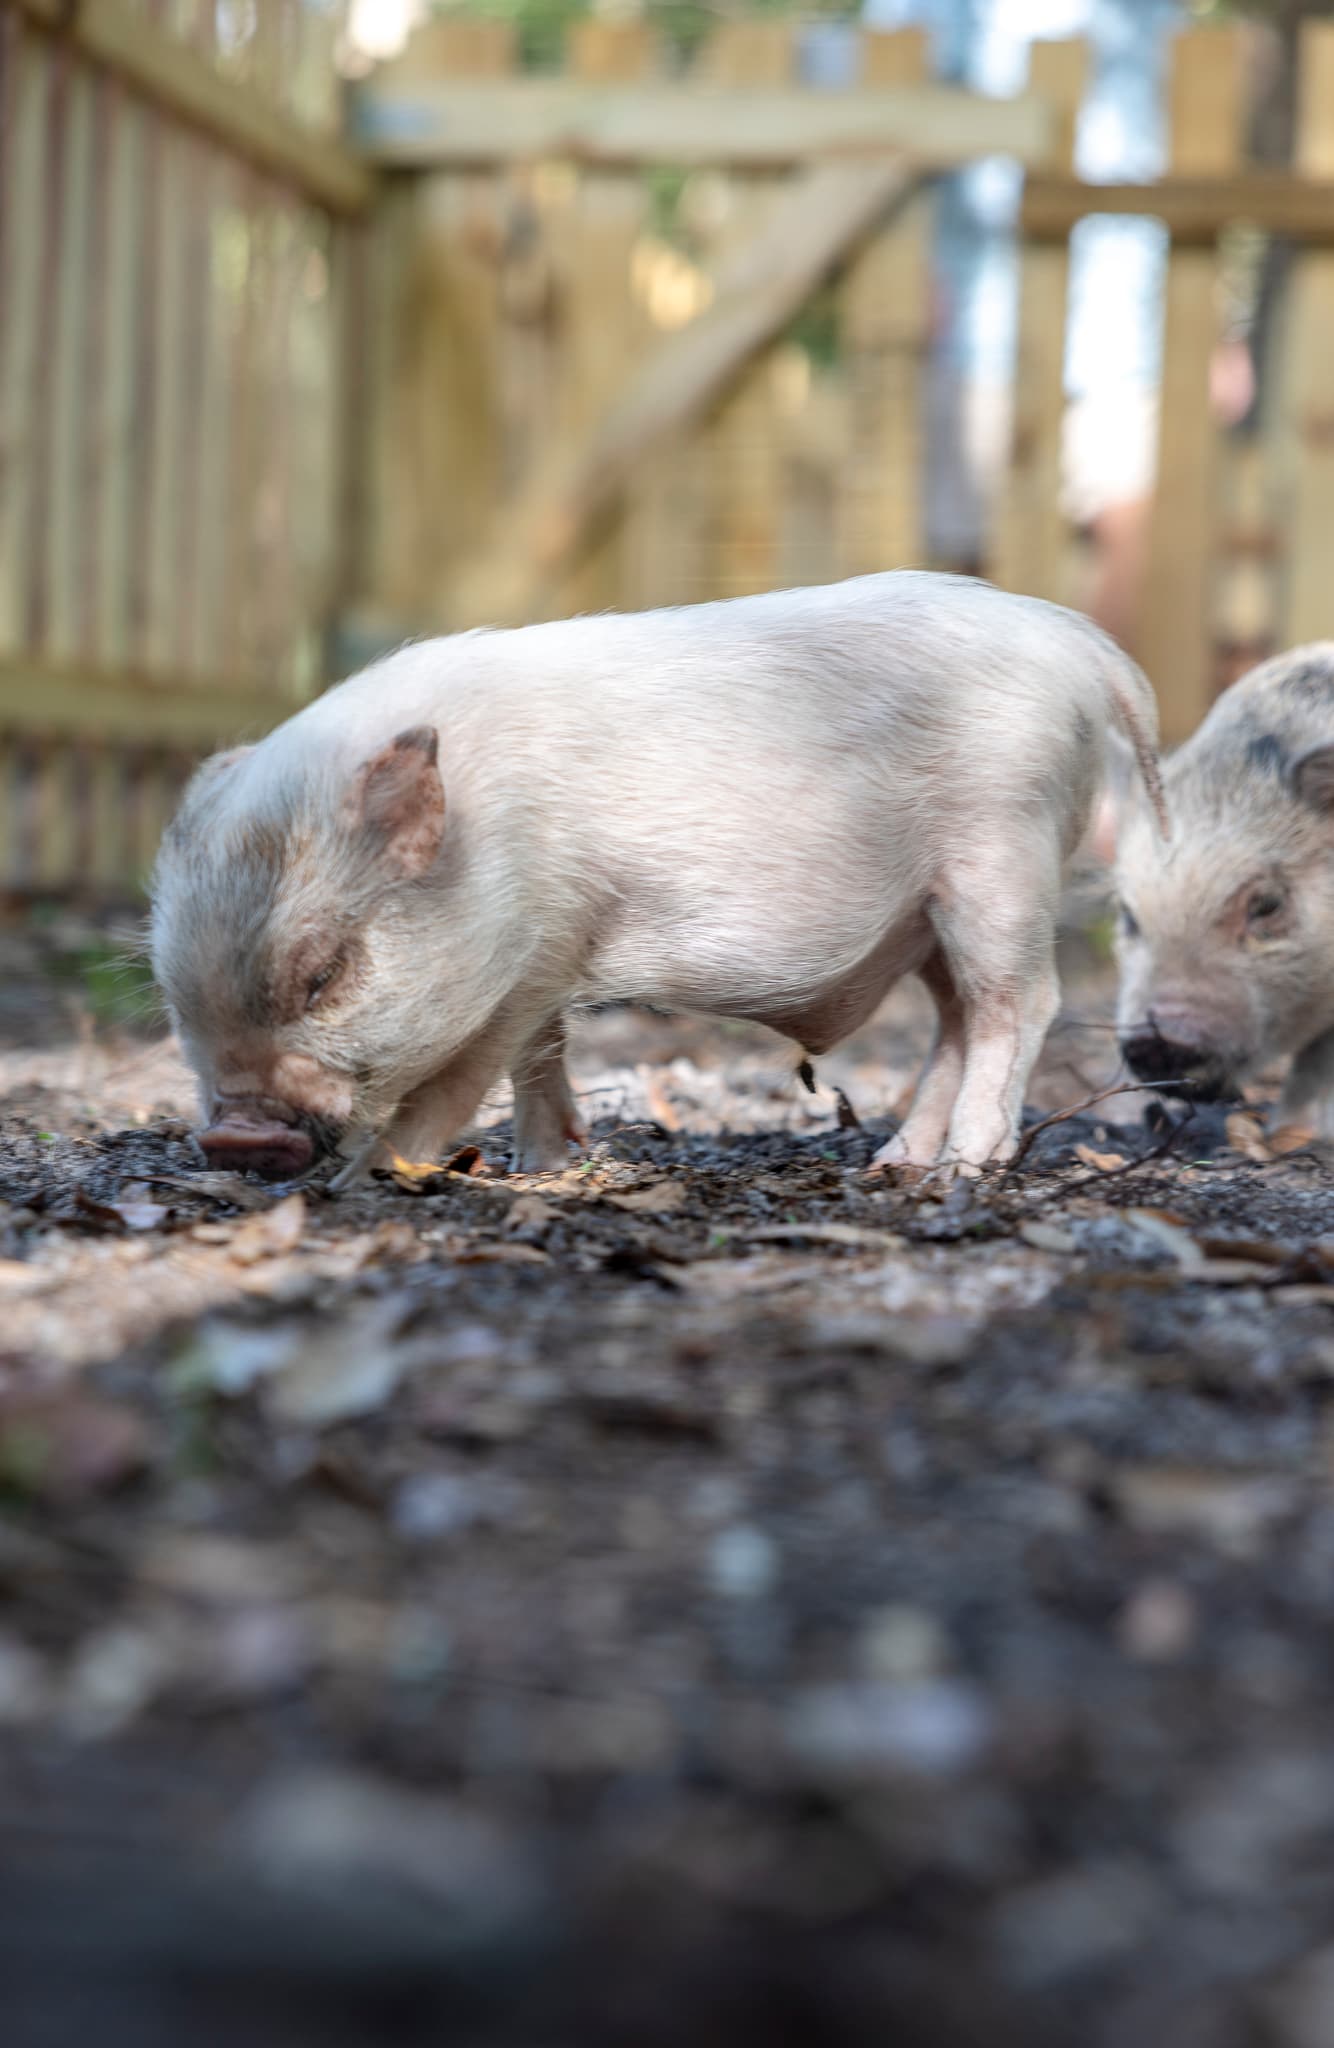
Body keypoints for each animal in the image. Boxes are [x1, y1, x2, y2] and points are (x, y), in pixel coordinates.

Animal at [150, 572, 1167, 1183]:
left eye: (323, 975)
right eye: (173, 996)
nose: (236, 1134)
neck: (491, 842)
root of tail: (1075, 640)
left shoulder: (540, 948)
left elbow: (471, 1069)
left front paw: (384, 1171)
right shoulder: (548, 954)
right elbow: (539, 1057)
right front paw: (541, 1169)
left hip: (1001, 859)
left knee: (1020, 1003)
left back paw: (962, 1170)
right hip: (926, 914)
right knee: (956, 1020)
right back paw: (892, 1165)